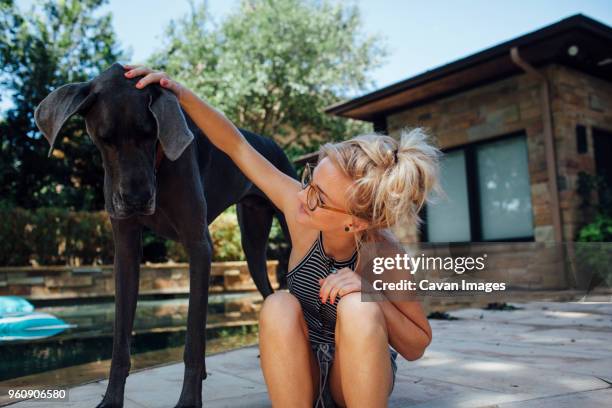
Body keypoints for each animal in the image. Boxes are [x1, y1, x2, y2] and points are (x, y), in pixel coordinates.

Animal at [33, 62, 296, 406]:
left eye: (150, 133)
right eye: (105, 138)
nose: (137, 200)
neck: (159, 164)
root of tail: (270, 142)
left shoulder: (199, 245)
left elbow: (192, 339)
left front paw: (188, 400)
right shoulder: (126, 250)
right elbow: (120, 340)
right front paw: (111, 399)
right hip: (252, 244)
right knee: (269, 292)